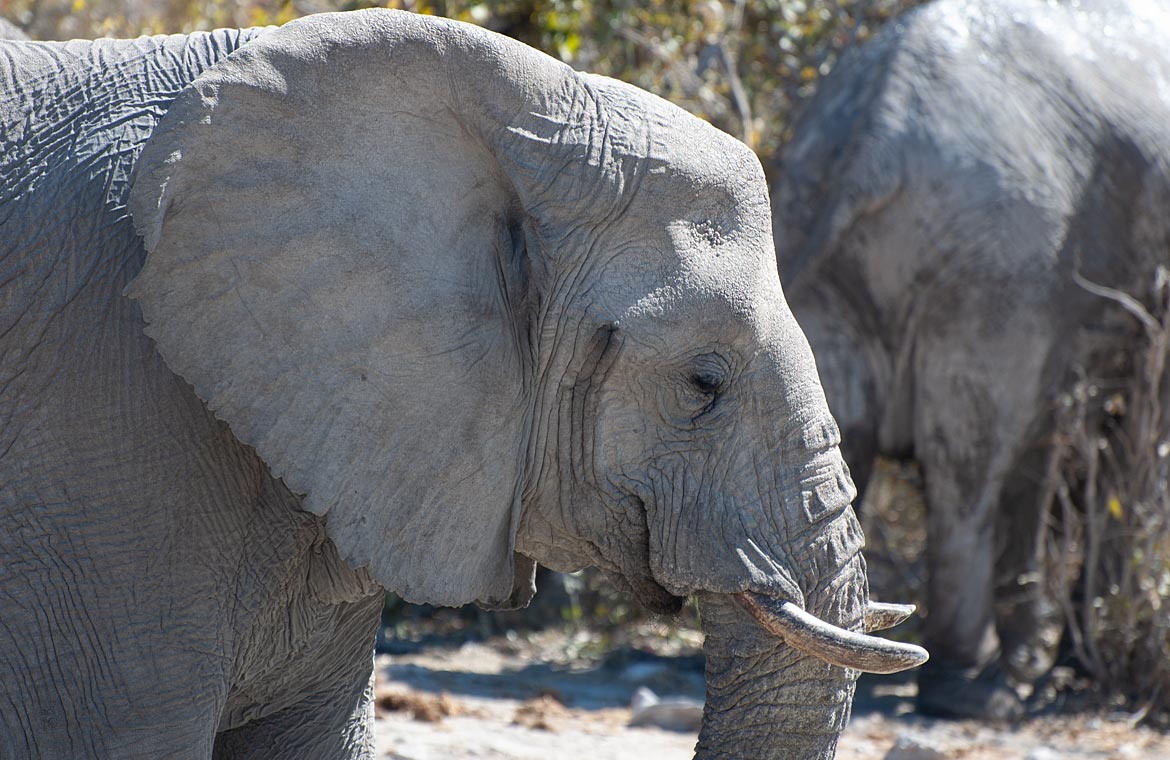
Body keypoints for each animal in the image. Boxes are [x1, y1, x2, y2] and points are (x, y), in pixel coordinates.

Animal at [776, 0, 1170, 715]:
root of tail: (874, 140)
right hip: (1001, 257)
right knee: (969, 457)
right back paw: (968, 690)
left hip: (832, 238)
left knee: (848, 435)